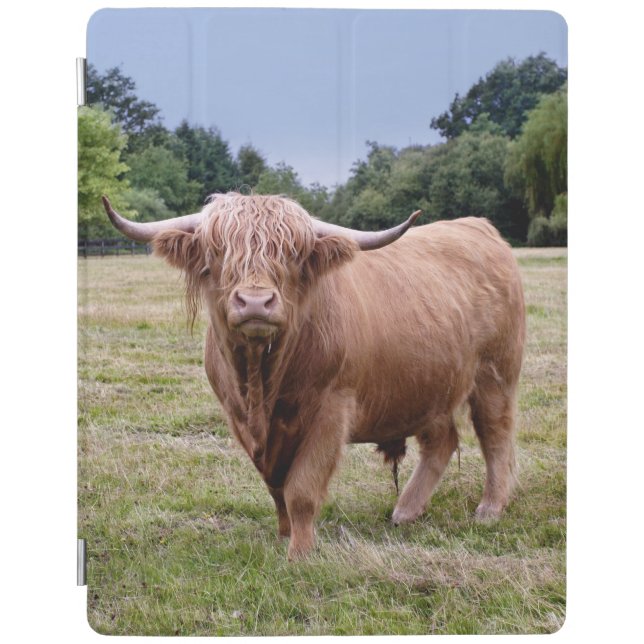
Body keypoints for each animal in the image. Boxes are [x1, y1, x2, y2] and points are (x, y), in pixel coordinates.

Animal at [102, 193, 525, 560]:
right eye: (218, 251)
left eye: (292, 254)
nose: (255, 302)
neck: (262, 385)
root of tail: (480, 227)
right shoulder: (240, 419)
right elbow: (276, 486)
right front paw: (284, 533)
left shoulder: (331, 410)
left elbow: (302, 488)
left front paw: (300, 552)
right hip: (428, 385)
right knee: (441, 441)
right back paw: (406, 511)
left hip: (495, 375)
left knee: (496, 435)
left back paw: (489, 508)